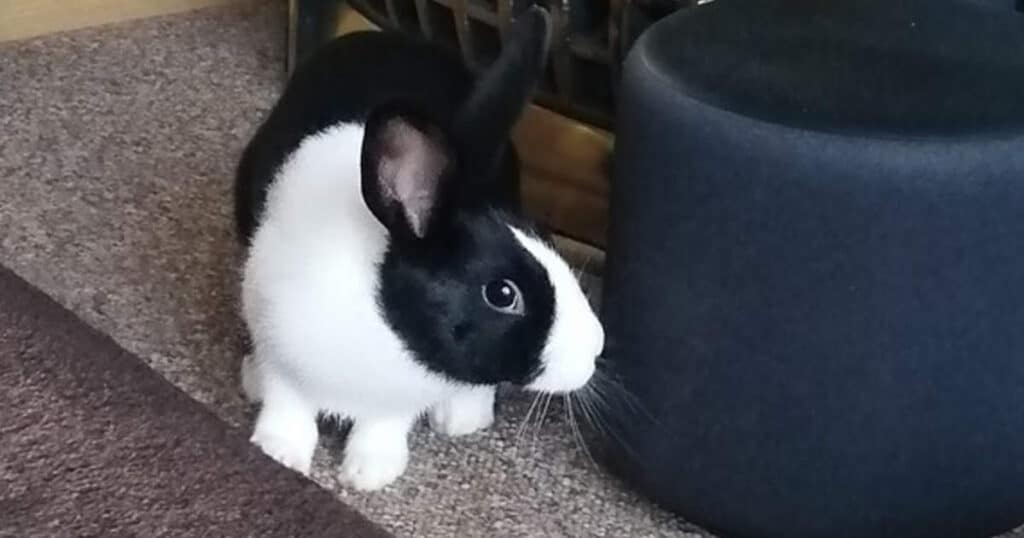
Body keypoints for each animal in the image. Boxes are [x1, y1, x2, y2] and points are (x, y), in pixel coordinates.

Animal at [233, 6, 605, 491]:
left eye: (549, 239)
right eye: (503, 293)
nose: (596, 348)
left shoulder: (398, 399)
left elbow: (383, 425)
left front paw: (369, 473)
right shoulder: (281, 348)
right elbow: (288, 405)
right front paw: (279, 453)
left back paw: (463, 417)